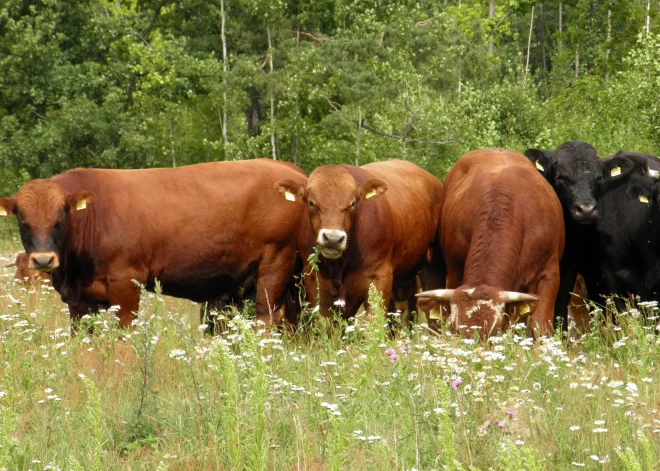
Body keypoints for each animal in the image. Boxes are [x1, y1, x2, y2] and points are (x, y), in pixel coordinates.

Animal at [0, 159, 308, 328]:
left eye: (60, 218)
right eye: (23, 222)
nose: (43, 260)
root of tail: (290, 170)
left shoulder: (126, 284)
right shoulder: (79, 302)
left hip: (275, 263)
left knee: (267, 317)